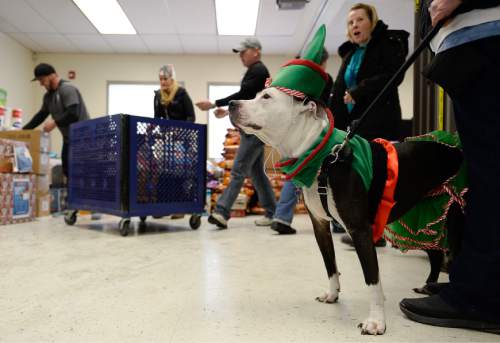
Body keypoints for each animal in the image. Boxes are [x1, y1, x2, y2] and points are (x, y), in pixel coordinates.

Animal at [227, 88, 460, 336]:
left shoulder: (359, 230)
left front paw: (376, 321)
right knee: (435, 252)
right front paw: (333, 294)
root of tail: (455, 148)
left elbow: (372, 277)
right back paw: (427, 285)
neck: (323, 158)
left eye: (267, 97)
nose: (231, 103)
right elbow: (330, 264)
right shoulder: (320, 225)